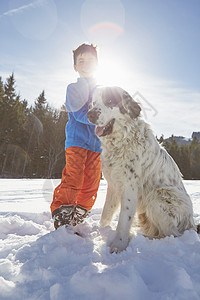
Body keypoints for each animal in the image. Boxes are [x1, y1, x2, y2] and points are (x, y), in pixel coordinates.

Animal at [87, 86, 197, 253]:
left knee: (171, 234)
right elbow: (106, 213)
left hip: (158, 196)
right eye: (93, 102)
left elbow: (123, 220)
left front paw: (118, 245)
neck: (122, 140)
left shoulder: (129, 188)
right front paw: (101, 230)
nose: (90, 114)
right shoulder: (113, 184)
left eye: (109, 101)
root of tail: (191, 224)